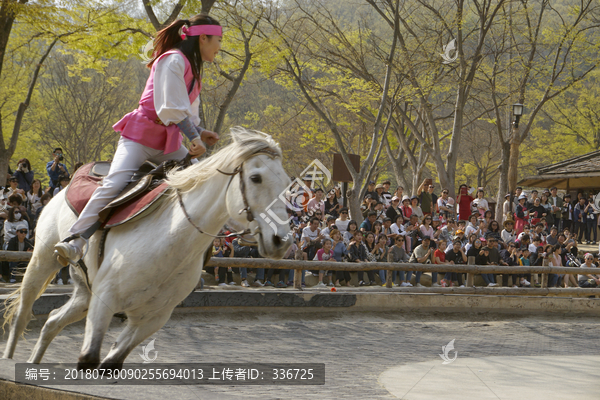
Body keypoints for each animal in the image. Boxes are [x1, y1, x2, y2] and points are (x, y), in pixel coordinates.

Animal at [0, 128, 290, 368]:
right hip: (43, 259)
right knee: (23, 311)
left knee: (52, 322)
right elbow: (89, 358)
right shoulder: (105, 300)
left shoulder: (151, 319)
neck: (172, 240)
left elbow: (110, 364)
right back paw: (10, 355)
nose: (281, 241)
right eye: (255, 178)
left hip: (85, 292)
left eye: (287, 183)